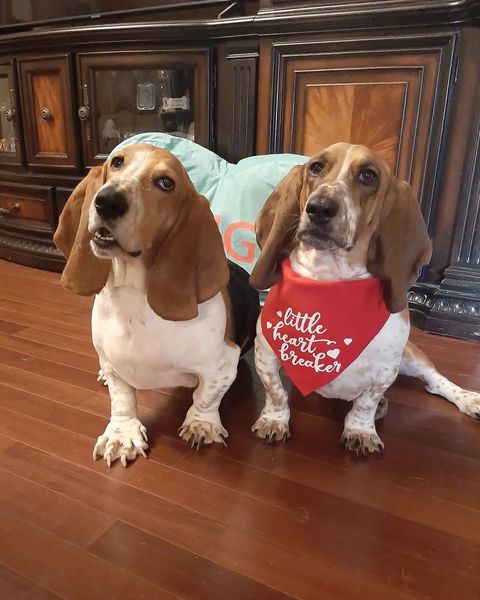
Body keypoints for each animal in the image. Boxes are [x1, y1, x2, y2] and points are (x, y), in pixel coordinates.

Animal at [54, 143, 258, 466]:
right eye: (116, 162)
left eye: (166, 183)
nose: (107, 201)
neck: (134, 299)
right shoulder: (114, 365)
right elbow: (122, 399)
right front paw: (122, 435)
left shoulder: (222, 365)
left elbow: (206, 396)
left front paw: (201, 424)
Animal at [251, 143, 480, 452]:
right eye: (316, 167)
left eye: (368, 175)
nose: (319, 207)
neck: (330, 280)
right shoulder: (265, 353)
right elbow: (275, 392)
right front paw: (274, 420)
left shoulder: (386, 369)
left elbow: (366, 403)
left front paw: (361, 430)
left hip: (411, 357)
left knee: (435, 381)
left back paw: (467, 399)